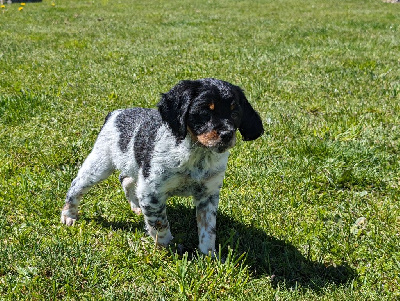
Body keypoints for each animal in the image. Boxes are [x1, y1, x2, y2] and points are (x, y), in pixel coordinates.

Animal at [61, 77, 264, 253]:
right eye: (205, 112)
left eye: (235, 113)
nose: (227, 134)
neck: (195, 154)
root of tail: (115, 113)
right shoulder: (152, 191)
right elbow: (160, 224)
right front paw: (170, 248)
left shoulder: (208, 194)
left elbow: (208, 230)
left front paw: (209, 256)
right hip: (99, 164)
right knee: (76, 186)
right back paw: (68, 215)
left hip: (134, 166)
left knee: (125, 179)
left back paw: (135, 206)